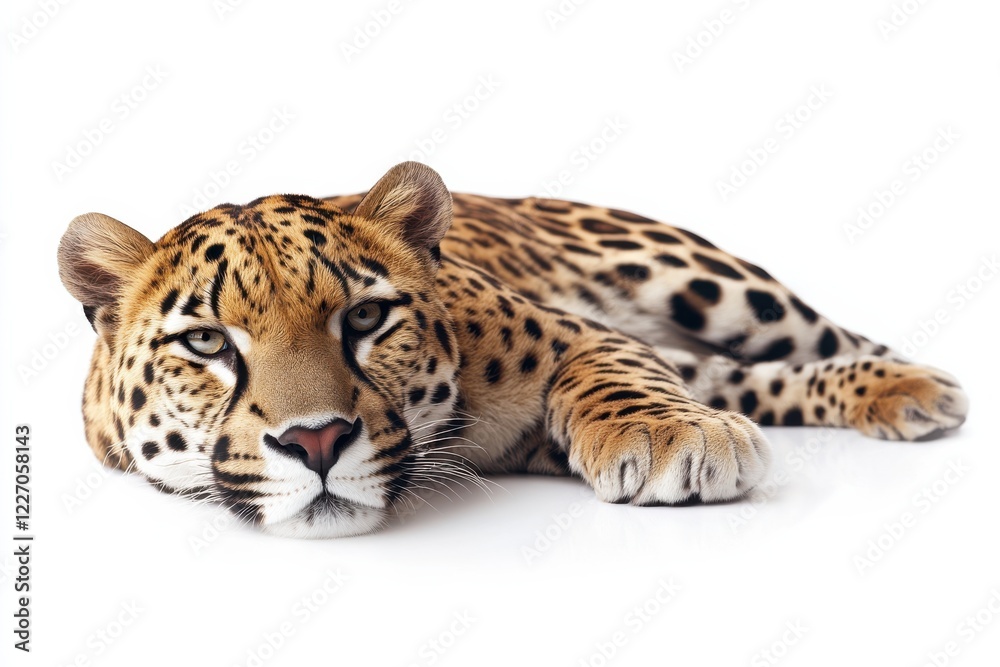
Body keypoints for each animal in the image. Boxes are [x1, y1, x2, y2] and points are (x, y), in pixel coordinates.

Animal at [57, 161, 969, 538]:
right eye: (206, 342)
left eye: (365, 318)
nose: (316, 441)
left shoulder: (586, 333)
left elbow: (613, 374)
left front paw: (673, 434)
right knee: (746, 380)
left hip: (710, 279)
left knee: (829, 338)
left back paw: (914, 384)